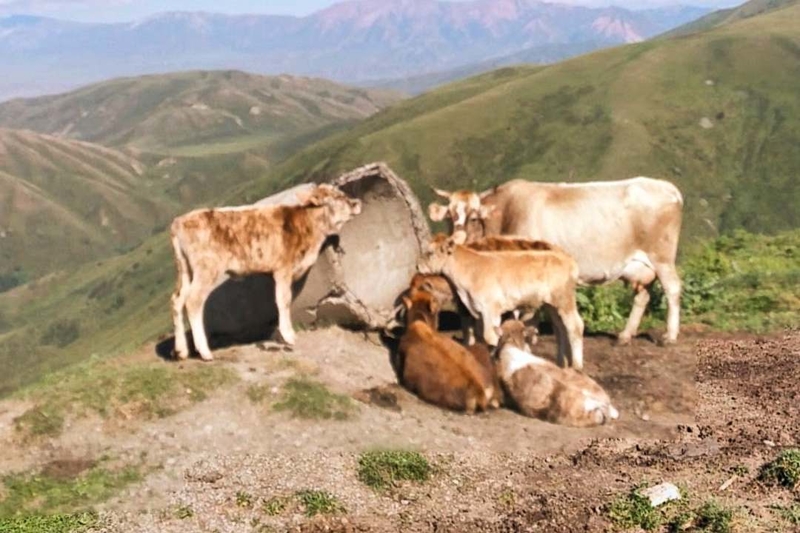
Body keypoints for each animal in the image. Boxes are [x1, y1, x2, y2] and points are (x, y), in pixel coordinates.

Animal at [170, 184, 360, 362]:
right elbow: (284, 300)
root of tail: (180, 221)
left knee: (177, 300)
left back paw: (181, 351)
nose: (357, 202)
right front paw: (288, 336)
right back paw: (205, 352)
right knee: (193, 301)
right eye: (337, 196)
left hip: (185, 270)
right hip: (207, 269)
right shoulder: (283, 269)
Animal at [428, 177, 684, 344]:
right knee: (643, 296)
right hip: (641, 267)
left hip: (662, 257)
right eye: (450, 215)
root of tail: (668, 187)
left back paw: (670, 336)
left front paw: (529, 334)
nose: (457, 237)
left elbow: (527, 308)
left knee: (672, 288)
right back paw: (624, 336)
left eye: (473, 217)